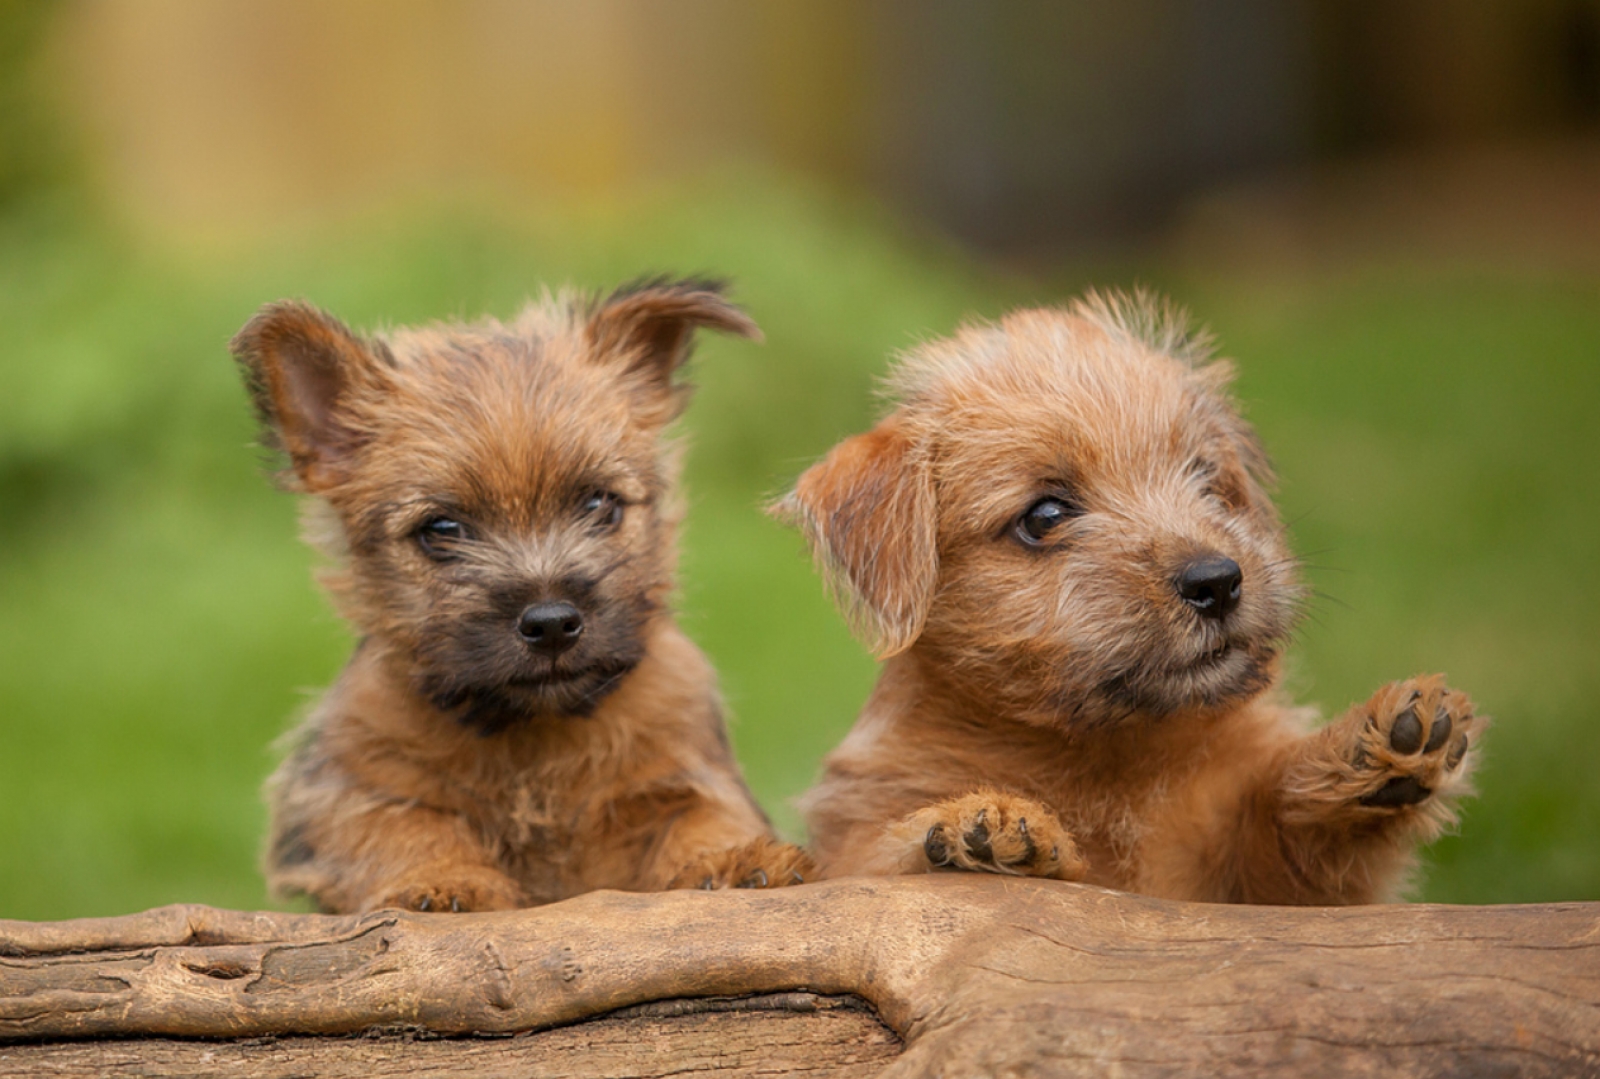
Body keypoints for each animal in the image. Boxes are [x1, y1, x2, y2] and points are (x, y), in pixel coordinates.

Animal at [233, 275, 812, 909]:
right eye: (442, 529)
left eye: (599, 503)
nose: (552, 622)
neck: (533, 737)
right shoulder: (343, 784)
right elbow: (397, 825)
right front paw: (442, 881)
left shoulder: (684, 765)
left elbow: (700, 816)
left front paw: (733, 861)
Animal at [780, 291, 1478, 896]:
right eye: (1044, 516)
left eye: (1207, 481)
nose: (1217, 581)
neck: (1112, 757)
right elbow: (876, 865)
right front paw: (971, 828)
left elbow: (1281, 827)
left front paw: (1373, 749)